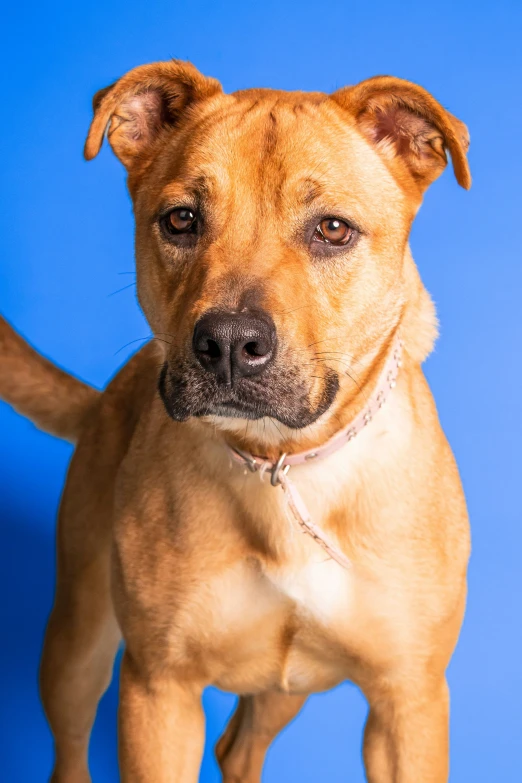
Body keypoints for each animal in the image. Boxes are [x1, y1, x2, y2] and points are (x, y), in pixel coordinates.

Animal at [0, 61, 470, 783]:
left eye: (333, 229)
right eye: (181, 219)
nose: (226, 342)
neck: (285, 464)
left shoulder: (409, 702)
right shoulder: (159, 690)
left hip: (286, 684)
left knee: (240, 747)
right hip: (77, 639)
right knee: (72, 742)